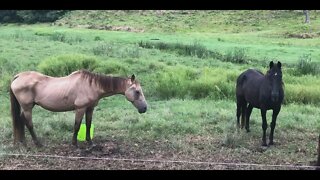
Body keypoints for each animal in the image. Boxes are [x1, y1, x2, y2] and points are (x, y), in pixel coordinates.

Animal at [10, 69, 148, 147]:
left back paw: (23, 141)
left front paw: (90, 143)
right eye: (137, 92)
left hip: (27, 108)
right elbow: (77, 125)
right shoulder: (80, 108)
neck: (91, 85)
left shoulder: (90, 108)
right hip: (28, 108)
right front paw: (74, 143)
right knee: (29, 123)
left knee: (22, 120)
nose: (144, 108)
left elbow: (88, 124)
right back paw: (38, 144)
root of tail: (18, 76)